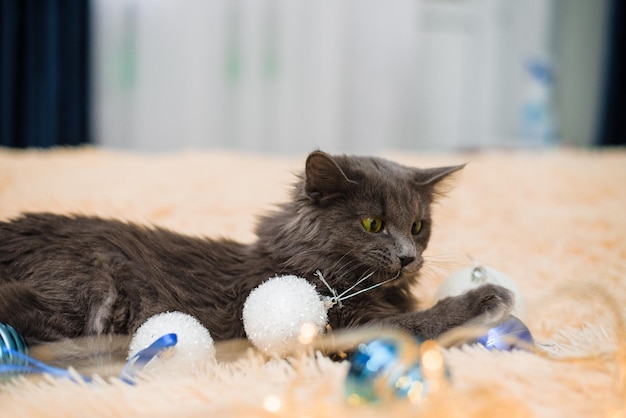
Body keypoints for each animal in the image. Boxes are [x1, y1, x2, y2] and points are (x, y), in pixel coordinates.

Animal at [0, 150, 512, 346]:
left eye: (419, 226)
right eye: (373, 224)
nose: (409, 257)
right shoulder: (349, 323)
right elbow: (424, 320)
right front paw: (488, 297)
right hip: (90, 290)